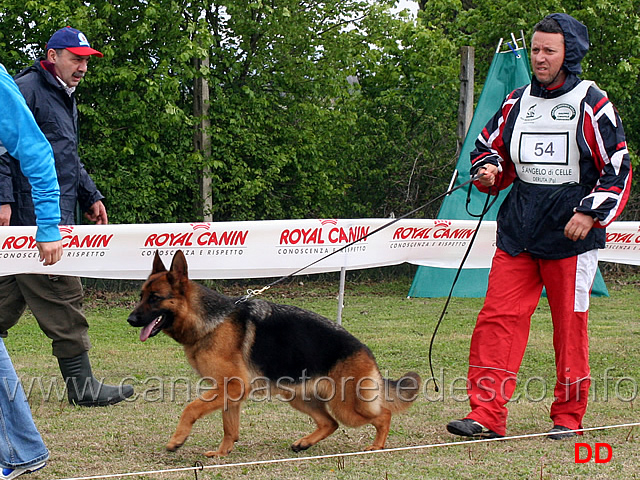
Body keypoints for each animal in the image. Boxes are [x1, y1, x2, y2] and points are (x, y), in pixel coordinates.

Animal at [129, 251, 420, 458]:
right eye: (141, 295)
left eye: (155, 298)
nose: (130, 319)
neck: (209, 320)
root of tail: (365, 350)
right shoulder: (230, 392)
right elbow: (229, 427)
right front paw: (223, 453)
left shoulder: (231, 386)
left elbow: (190, 408)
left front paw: (177, 440)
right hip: (298, 397)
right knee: (330, 423)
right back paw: (304, 443)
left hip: (346, 405)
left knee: (383, 415)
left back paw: (376, 446)